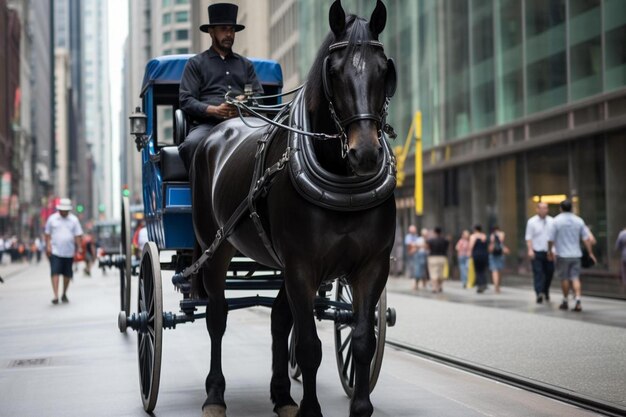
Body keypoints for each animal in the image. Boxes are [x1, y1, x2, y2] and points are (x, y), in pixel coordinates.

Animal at [190, 1, 394, 414]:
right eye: (334, 72)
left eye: (385, 69)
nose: (366, 153)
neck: (341, 178)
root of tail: (220, 130)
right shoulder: (301, 265)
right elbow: (309, 345)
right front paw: (311, 409)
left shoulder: (372, 265)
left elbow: (362, 340)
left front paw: (360, 406)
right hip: (215, 249)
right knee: (217, 317)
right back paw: (215, 394)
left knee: (279, 318)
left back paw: (283, 394)